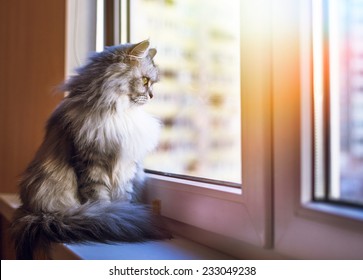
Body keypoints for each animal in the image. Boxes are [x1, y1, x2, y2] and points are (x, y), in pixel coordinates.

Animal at [10, 40, 172, 260]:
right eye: (145, 81)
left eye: (152, 83)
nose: (152, 96)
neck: (117, 112)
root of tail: (34, 213)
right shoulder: (91, 163)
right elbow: (99, 199)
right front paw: (109, 214)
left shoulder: (126, 167)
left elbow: (123, 196)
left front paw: (122, 212)